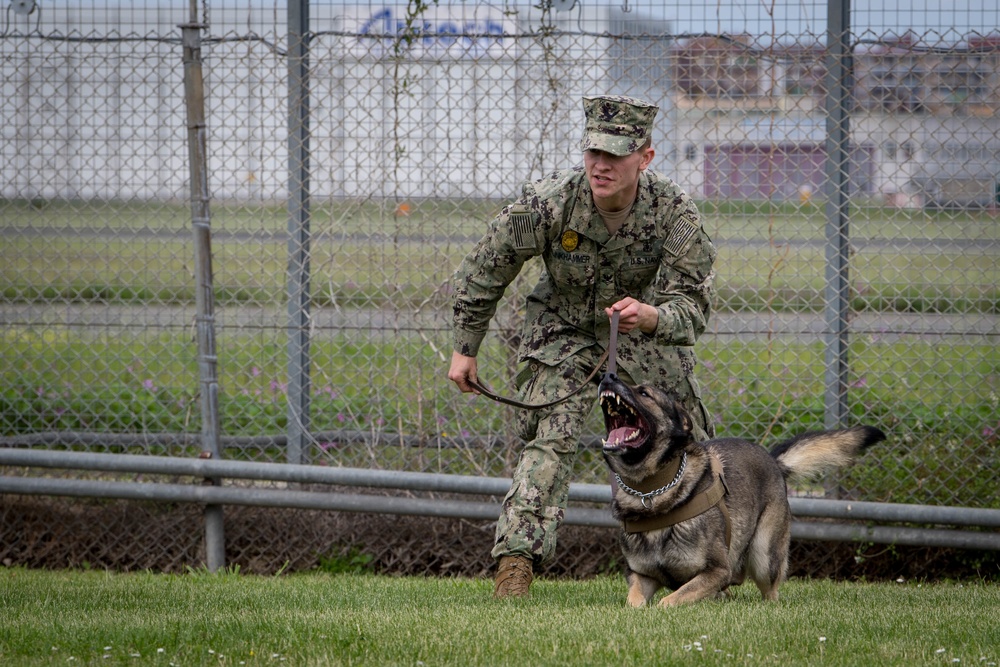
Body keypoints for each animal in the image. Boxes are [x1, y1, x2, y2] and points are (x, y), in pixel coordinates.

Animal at [592, 374, 884, 608]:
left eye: (644, 393)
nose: (607, 377)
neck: (652, 493)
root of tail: (773, 460)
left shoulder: (717, 571)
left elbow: (670, 601)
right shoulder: (641, 576)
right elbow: (634, 603)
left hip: (765, 556)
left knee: (770, 591)